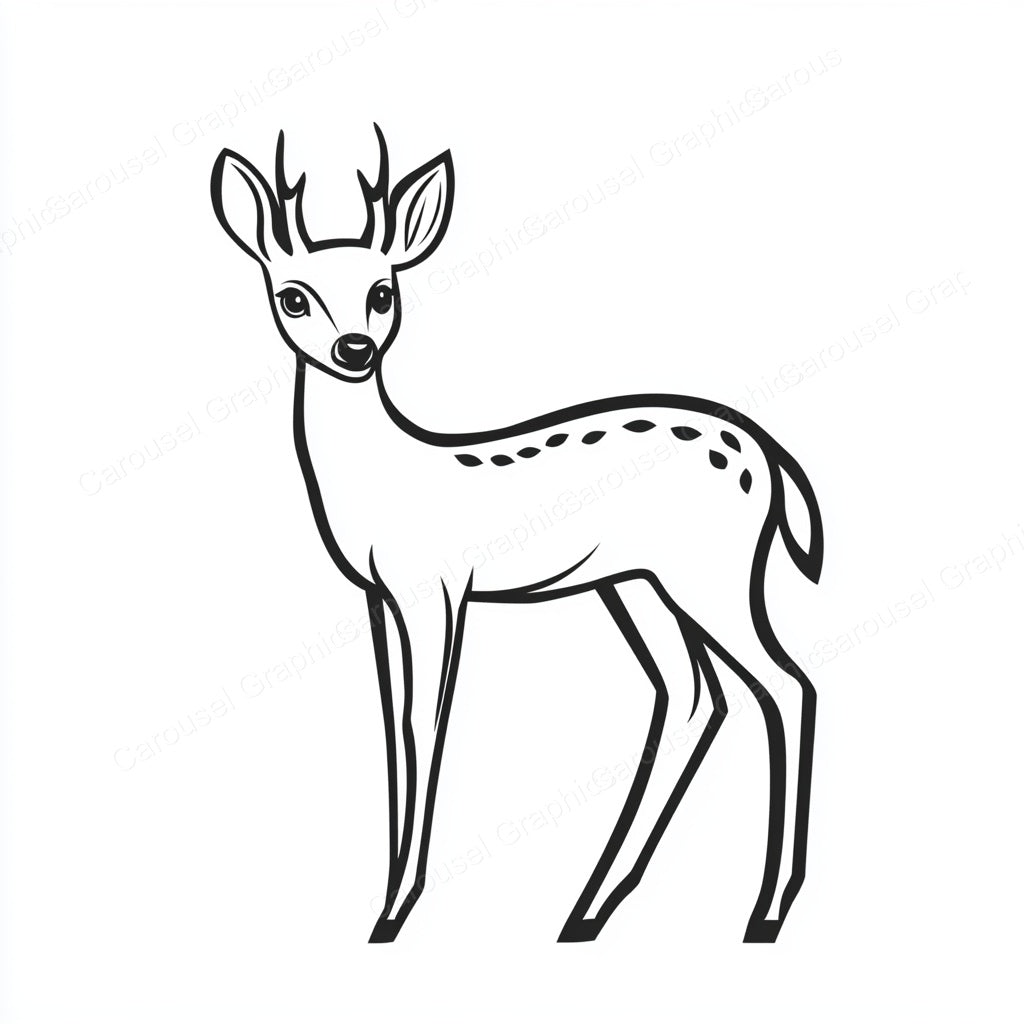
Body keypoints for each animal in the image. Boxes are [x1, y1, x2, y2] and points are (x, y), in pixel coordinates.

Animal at [210, 127, 824, 944]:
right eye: (293, 296)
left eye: (383, 291)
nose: (353, 350)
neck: (383, 476)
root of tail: (770, 457)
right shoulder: (380, 597)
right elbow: (391, 725)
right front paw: (385, 903)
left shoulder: (438, 587)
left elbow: (426, 722)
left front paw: (397, 908)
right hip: (636, 581)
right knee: (694, 695)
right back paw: (588, 909)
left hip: (712, 570)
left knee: (785, 685)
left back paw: (765, 908)